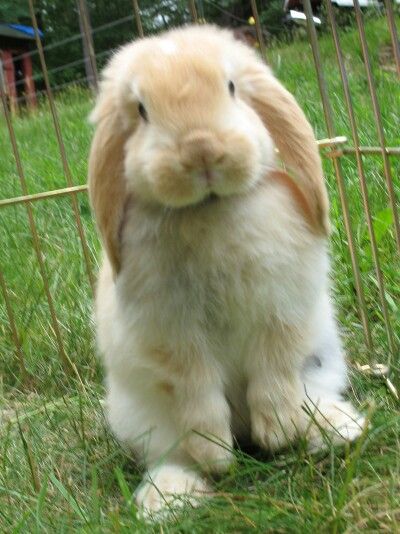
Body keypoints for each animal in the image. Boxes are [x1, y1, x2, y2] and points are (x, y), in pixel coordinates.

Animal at [88, 24, 366, 520]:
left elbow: (273, 371)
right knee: (170, 453)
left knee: (310, 398)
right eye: (141, 111)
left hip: (320, 370)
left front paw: (277, 433)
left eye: (232, 87)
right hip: (143, 419)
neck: (209, 210)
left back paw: (336, 431)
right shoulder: (172, 340)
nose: (201, 149)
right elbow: (197, 393)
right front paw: (218, 455)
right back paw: (169, 498)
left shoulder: (283, 311)